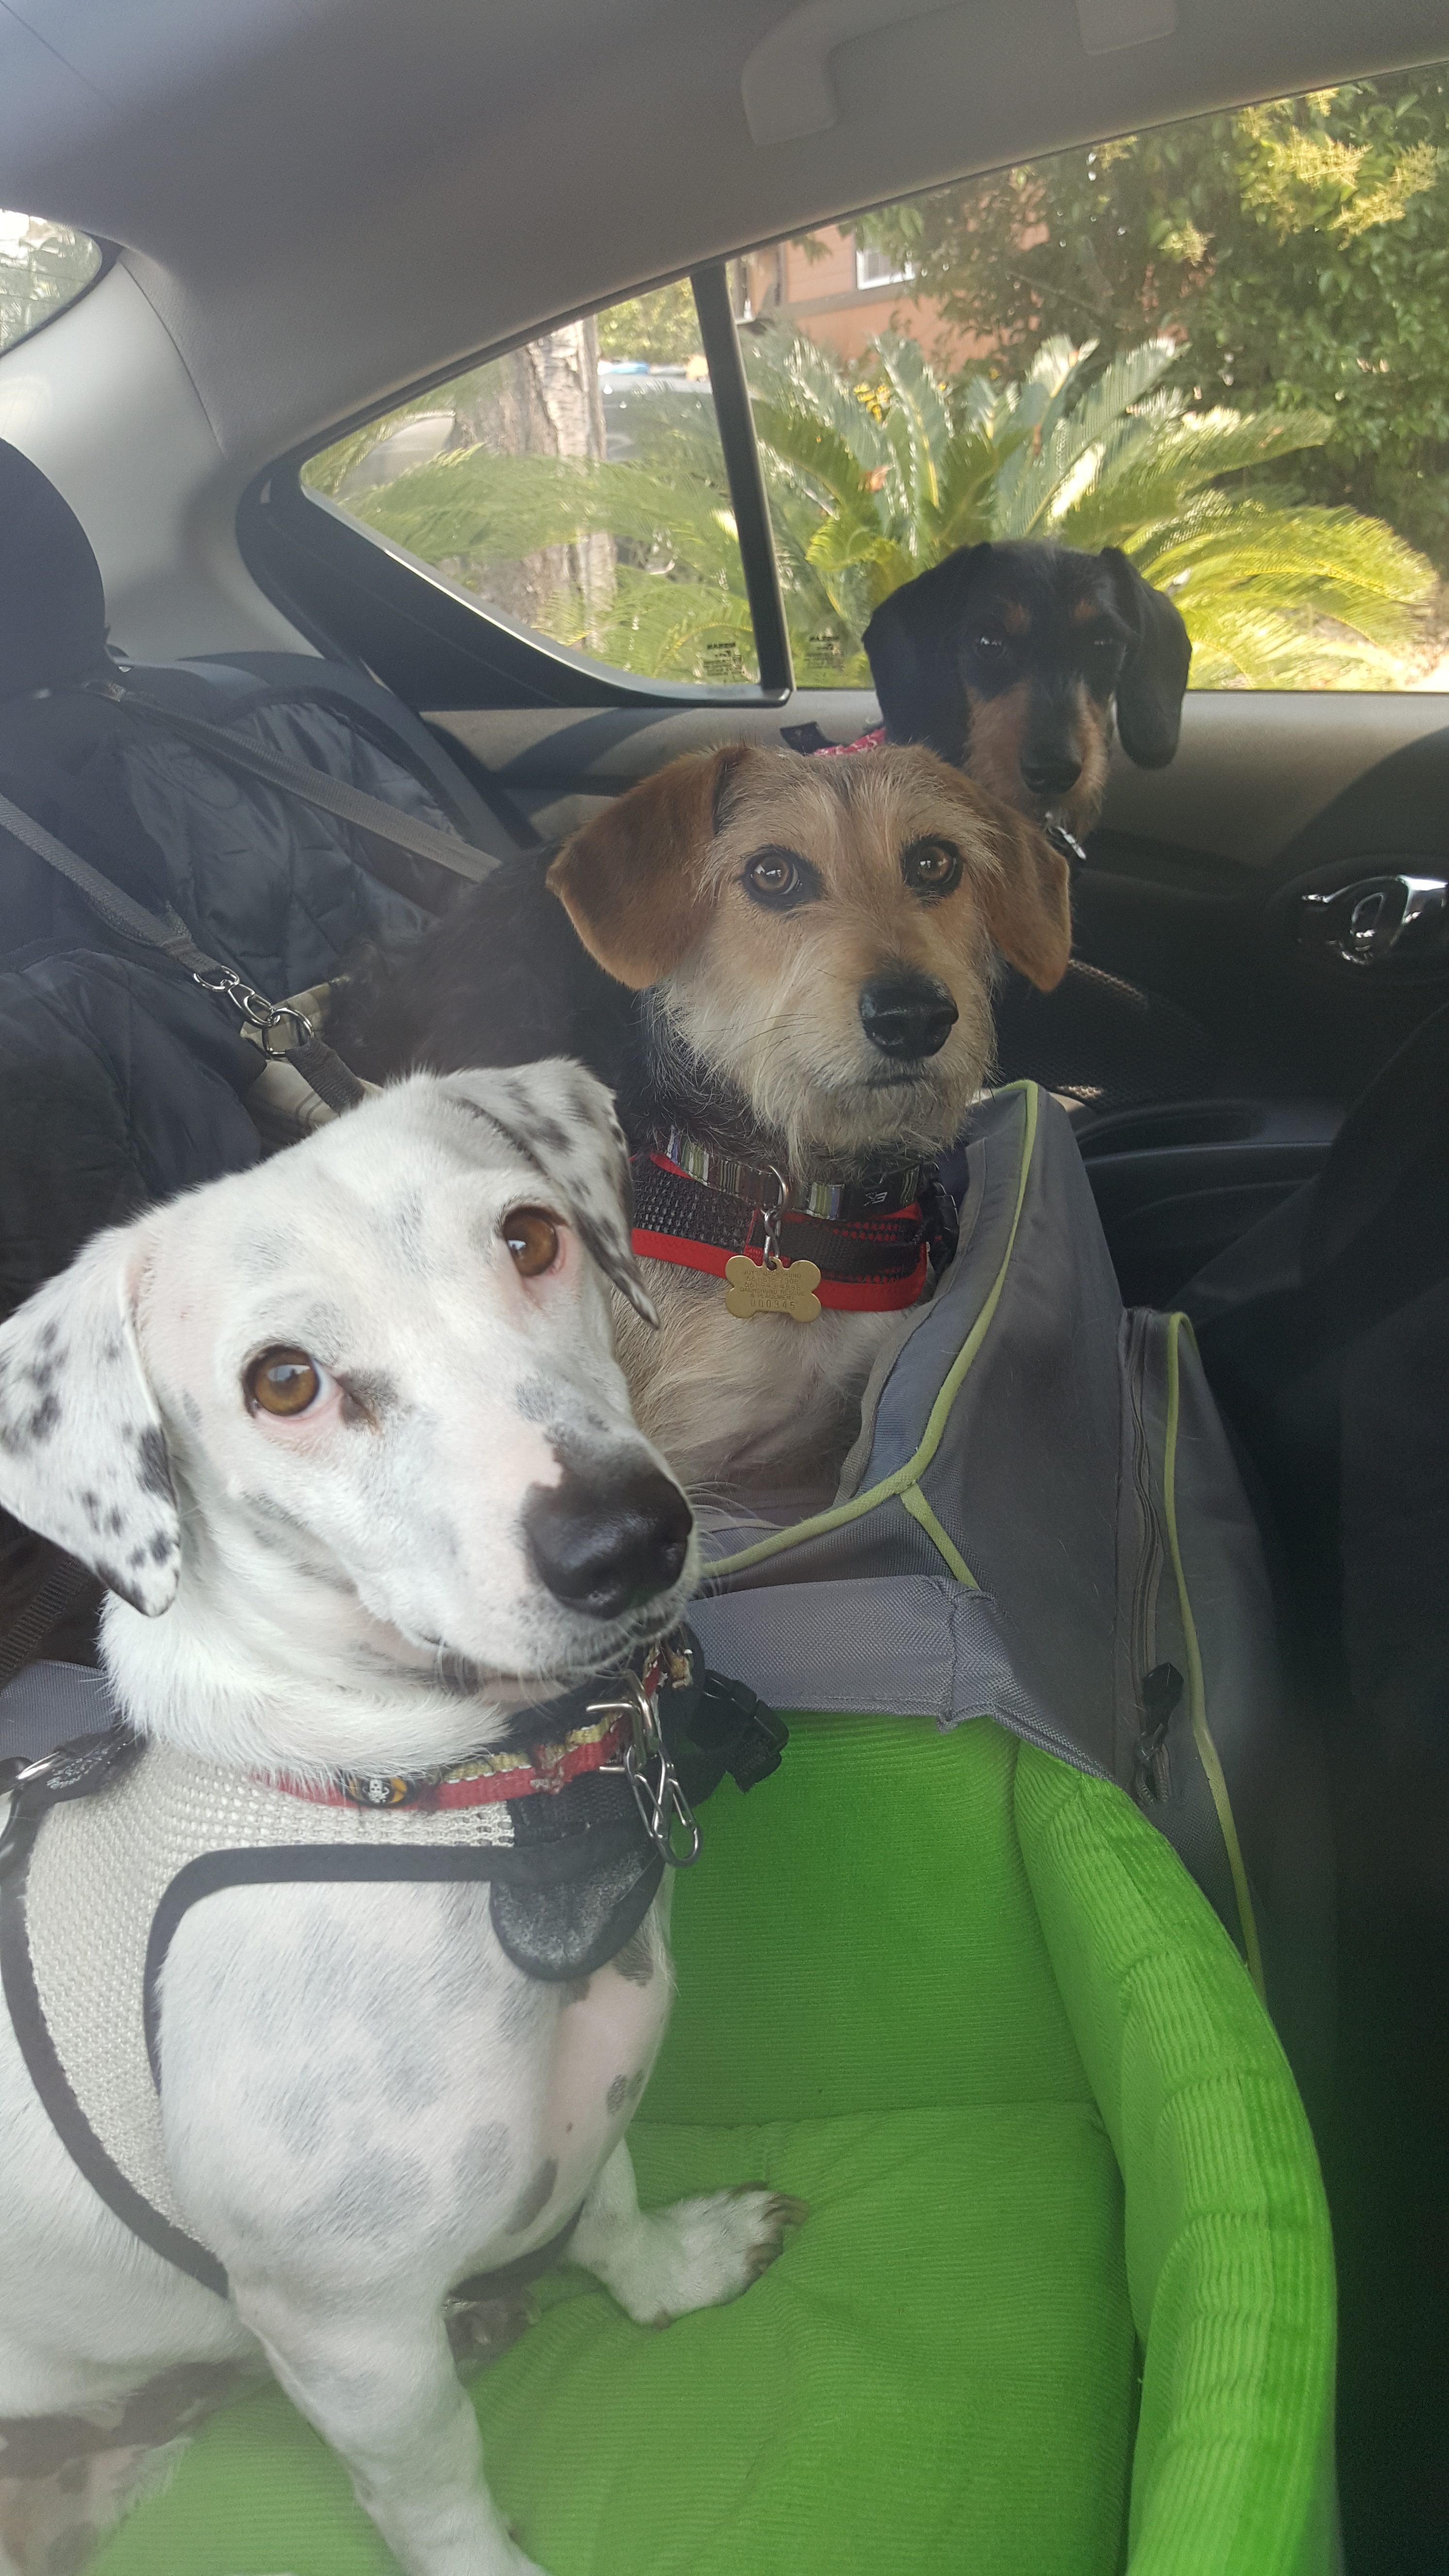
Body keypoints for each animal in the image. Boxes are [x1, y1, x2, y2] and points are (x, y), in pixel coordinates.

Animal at [0, 1061, 799, 2576]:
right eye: (285, 1381)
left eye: (531, 1236)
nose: (626, 1538)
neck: (441, 1807)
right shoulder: (352, 2337)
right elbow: (434, 2485)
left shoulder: (584, 2119)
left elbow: (607, 2210)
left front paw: (667, 2272)